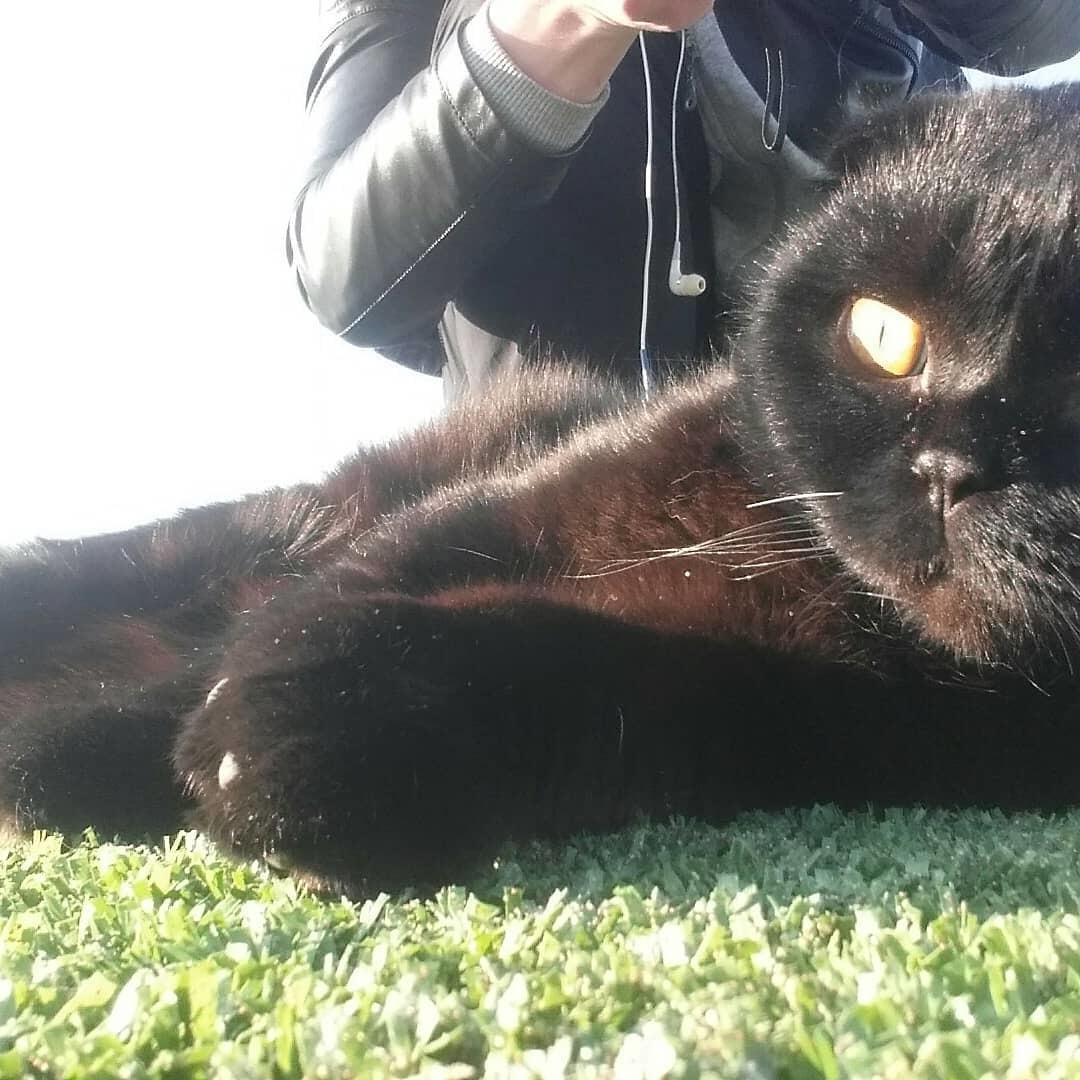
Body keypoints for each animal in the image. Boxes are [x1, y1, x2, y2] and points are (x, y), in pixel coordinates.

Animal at [2, 86, 1080, 894]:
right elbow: (296, 610)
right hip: (283, 520)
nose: (949, 471)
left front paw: (305, 734)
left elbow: (585, 665)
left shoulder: (850, 709)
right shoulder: (510, 506)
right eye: (886, 333)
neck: (770, 549)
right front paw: (69, 750)